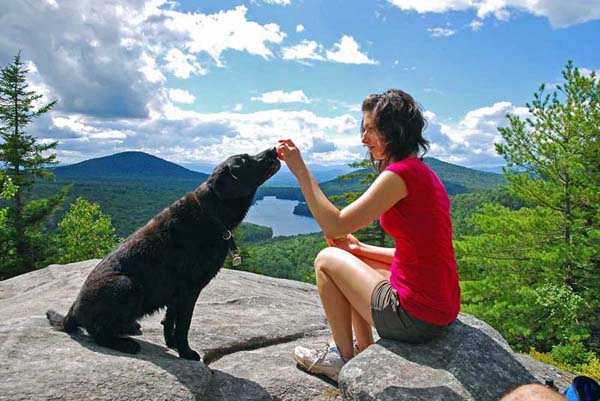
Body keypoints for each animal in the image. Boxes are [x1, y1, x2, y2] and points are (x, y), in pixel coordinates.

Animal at [47, 147, 281, 360]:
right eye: (244, 159)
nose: (273, 149)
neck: (212, 213)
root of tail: (72, 311)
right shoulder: (189, 290)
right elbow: (183, 325)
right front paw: (186, 352)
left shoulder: (175, 293)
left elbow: (170, 321)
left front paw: (173, 344)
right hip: (127, 285)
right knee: (97, 332)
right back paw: (124, 343)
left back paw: (129, 327)